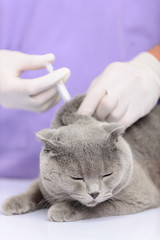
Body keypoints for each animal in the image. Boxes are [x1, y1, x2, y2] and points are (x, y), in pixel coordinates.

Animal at [1, 95, 160, 221]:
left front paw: (61, 209)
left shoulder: (139, 196)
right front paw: (14, 202)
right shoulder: (44, 182)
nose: (94, 193)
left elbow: (98, 205)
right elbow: (34, 188)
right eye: (77, 178)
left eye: (107, 175)